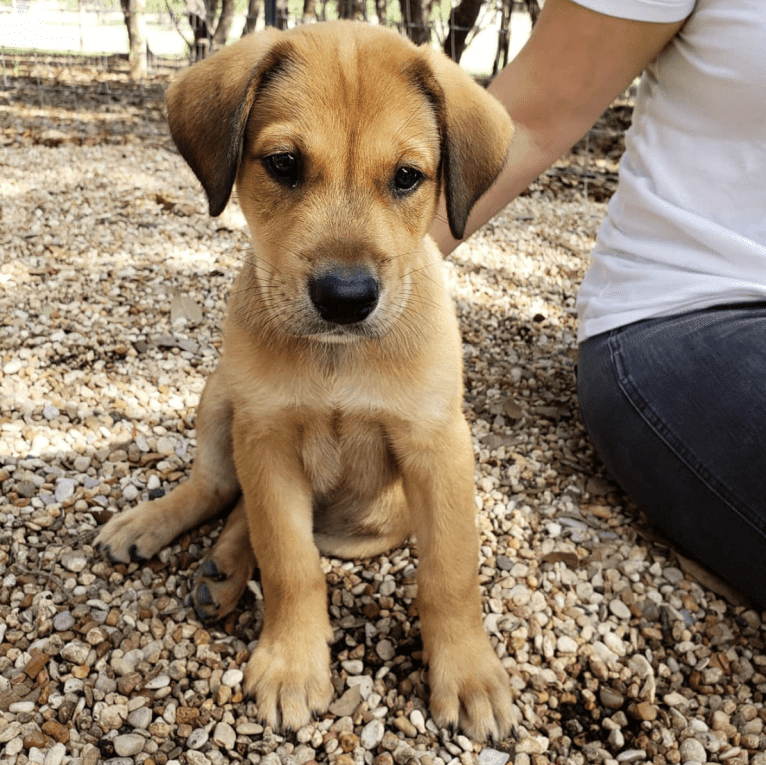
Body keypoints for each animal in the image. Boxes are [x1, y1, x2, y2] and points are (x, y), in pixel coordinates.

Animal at [94, 22, 516, 740]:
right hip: (221, 398)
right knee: (218, 488)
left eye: (407, 178)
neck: (336, 359)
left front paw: (468, 674)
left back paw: (221, 568)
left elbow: (450, 571)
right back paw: (153, 526)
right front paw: (293, 665)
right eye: (284, 164)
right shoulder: (266, 435)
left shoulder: (437, 446)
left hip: (368, 523)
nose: (346, 298)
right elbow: (290, 562)